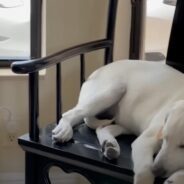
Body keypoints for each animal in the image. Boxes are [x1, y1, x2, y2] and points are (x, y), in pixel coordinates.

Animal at [51, 59, 184, 183]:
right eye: (164, 138)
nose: (156, 170)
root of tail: (97, 71)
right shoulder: (144, 142)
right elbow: (144, 172)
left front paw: (176, 178)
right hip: (114, 90)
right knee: (70, 114)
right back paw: (64, 130)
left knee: (102, 128)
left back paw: (110, 144)